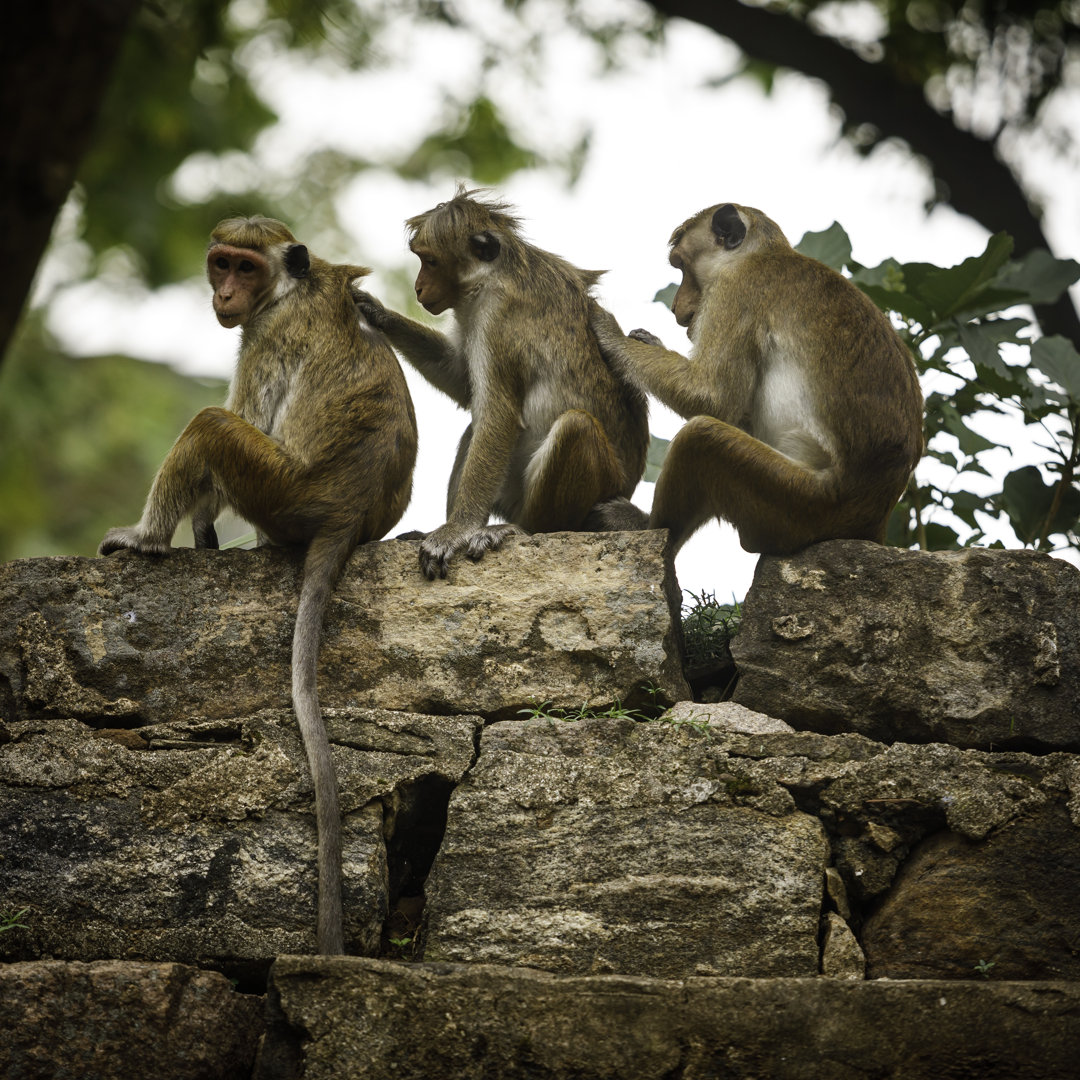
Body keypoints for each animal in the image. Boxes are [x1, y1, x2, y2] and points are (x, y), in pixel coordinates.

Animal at [99, 214, 416, 959]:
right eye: (220, 263)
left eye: (244, 267)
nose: (225, 294)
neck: (290, 287)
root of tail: (346, 512)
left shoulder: (268, 336)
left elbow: (247, 415)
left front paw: (186, 525)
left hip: (282, 492)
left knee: (214, 424)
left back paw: (150, 536)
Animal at [587, 200, 924, 557]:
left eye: (681, 266)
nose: (678, 309)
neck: (758, 254)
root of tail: (871, 519)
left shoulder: (736, 290)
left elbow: (712, 398)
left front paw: (612, 336)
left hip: (801, 501)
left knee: (701, 438)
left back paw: (648, 526)